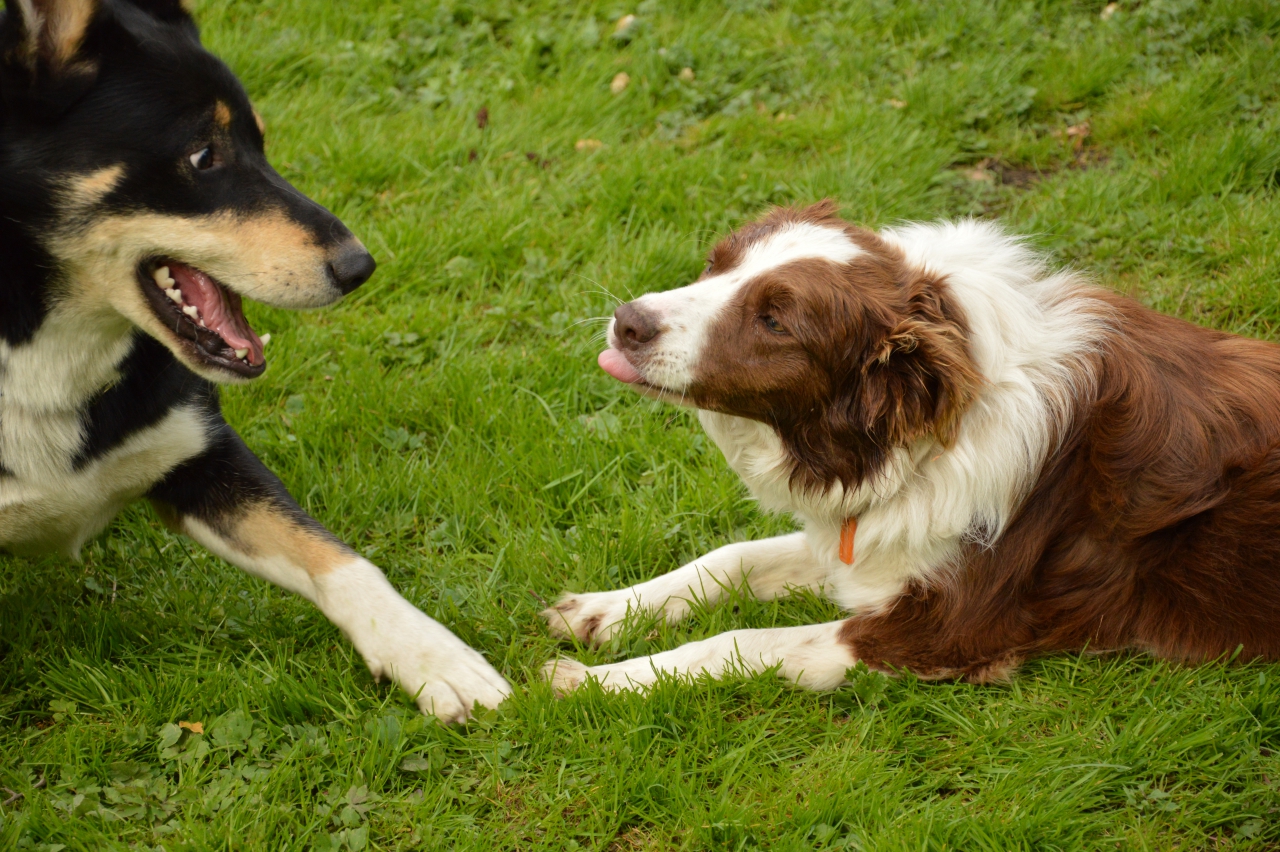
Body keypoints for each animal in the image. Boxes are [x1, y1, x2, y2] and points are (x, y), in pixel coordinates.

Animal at [0, 0, 508, 722]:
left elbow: (339, 557)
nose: (359, 267)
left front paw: (433, 656)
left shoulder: (202, 454)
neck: (43, 343)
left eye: (262, 142)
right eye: (203, 154)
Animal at [542, 201, 1280, 693]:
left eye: (775, 321)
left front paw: (591, 681)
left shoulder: (945, 629)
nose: (628, 321)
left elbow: (736, 641)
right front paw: (607, 610)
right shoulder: (878, 538)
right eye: (715, 265)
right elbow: (733, 557)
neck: (919, 439)